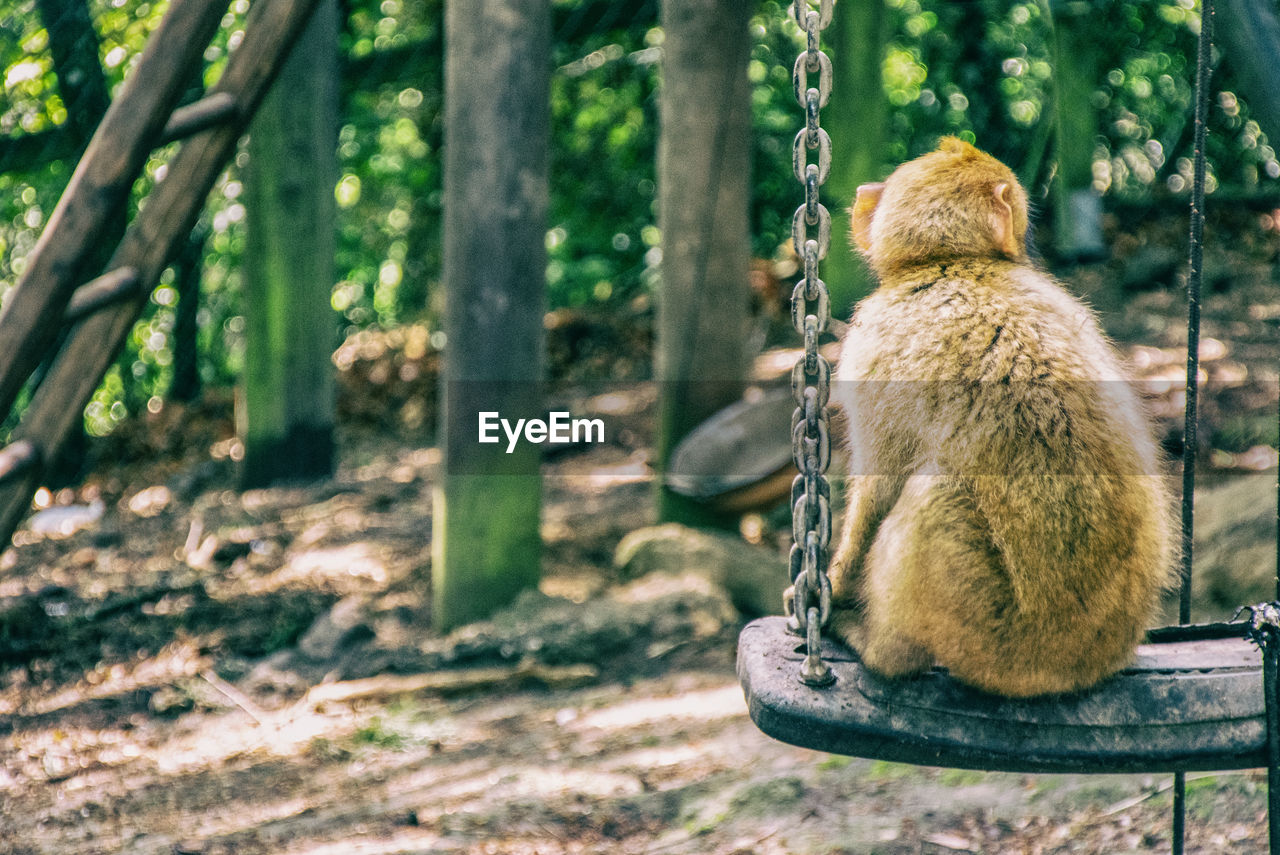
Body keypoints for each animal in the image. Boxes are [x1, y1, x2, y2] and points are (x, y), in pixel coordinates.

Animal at [808, 136, 1177, 696]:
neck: (948, 262)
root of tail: (1076, 666)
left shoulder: (872, 346)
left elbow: (879, 486)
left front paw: (829, 589)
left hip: (992, 633)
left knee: (932, 497)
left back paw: (882, 652)